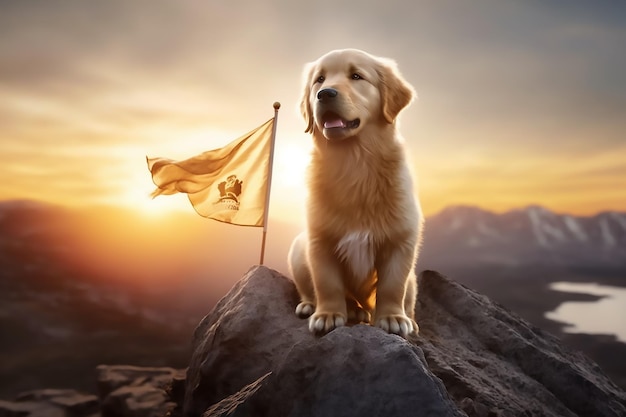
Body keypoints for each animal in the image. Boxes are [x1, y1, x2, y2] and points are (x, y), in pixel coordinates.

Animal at [288, 48, 424, 338]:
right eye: (319, 79)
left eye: (357, 76)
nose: (324, 94)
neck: (354, 161)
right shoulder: (320, 240)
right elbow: (327, 282)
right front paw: (328, 314)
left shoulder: (401, 240)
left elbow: (393, 285)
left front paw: (393, 317)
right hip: (297, 249)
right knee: (310, 288)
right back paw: (322, 306)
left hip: (413, 278)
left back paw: (406, 318)